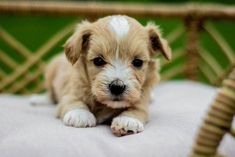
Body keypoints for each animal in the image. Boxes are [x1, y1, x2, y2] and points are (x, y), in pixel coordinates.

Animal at [30, 15, 171, 136]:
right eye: (98, 61)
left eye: (137, 62)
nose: (117, 87)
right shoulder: (71, 90)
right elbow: (72, 100)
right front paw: (80, 115)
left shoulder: (141, 98)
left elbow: (139, 109)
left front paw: (128, 120)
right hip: (51, 71)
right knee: (51, 94)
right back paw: (39, 99)